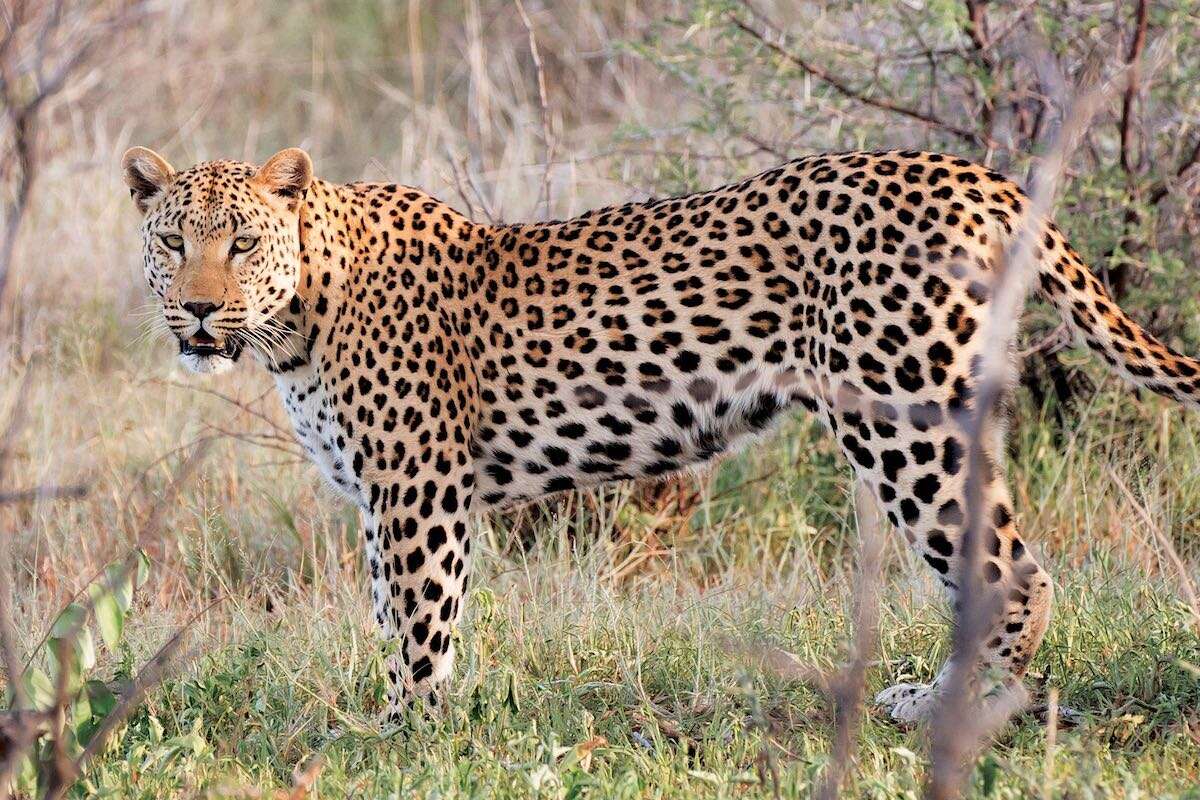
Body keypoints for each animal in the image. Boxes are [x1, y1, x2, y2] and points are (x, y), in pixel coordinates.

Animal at [121, 145, 1200, 723]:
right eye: (173, 241)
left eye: (242, 242)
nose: (200, 311)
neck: (296, 319)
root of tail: (973, 171)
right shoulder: (384, 498)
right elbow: (393, 610)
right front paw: (399, 722)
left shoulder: (419, 489)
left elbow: (422, 622)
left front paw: (402, 732)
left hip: (902, 411)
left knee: (1011, 569)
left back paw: (956, 713)